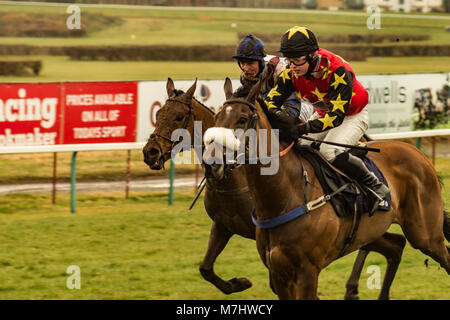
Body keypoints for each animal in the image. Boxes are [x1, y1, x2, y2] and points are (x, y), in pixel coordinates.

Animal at [204, 78, 450, 300]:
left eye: (242, 118)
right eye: (216, 118)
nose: (211, 164)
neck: (287, 197)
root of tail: (418, 154)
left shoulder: (307, 272)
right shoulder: (280, 274)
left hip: (426, 235)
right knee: (397, 247)